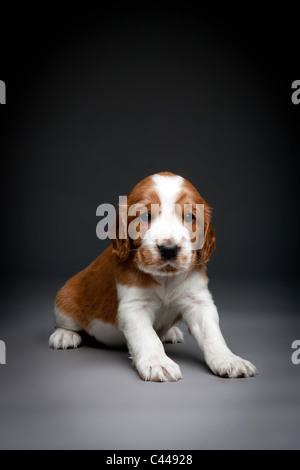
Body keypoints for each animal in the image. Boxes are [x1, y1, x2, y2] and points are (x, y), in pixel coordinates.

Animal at [49, 173, 258, 382]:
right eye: (145, 216)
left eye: (189, 216)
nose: (169, 249)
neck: (166, 279)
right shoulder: (134, 307)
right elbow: (147, 336)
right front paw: (158, 363)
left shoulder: (198, 301)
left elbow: (212, 335)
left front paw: (230, 360)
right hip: (66, 297)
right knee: (65, 323)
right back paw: (64, 336)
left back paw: (170, 332)